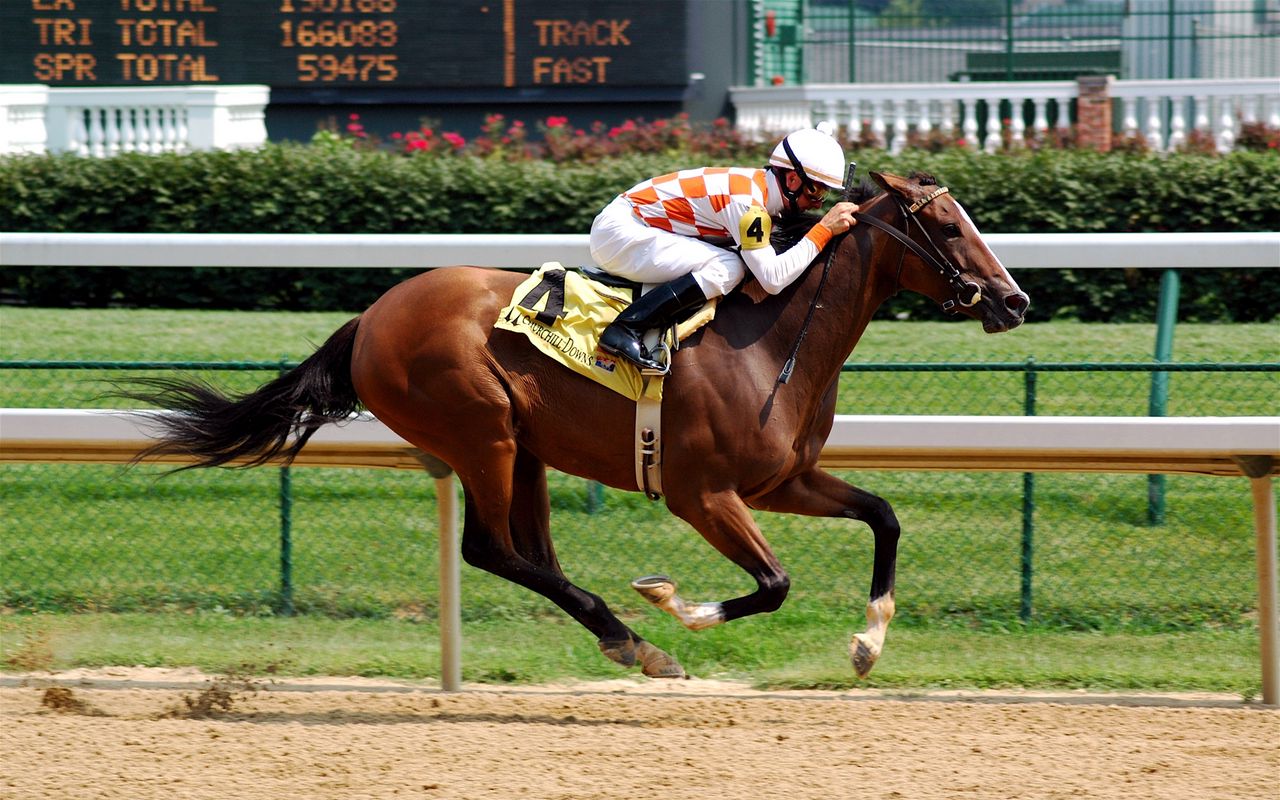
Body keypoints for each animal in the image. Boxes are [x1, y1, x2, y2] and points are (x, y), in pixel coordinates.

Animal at [129, 171, 1029, 675]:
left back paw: (624, 640)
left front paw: (868, 643)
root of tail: (372, 316)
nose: (1015, 299)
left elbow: (884, 517)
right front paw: (676, 604)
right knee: (492, 550)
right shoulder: (704, 494)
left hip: (524, 448)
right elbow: (773, 584)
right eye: (947, 225)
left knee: (531, 555)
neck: (773, 336)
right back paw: (638, 640)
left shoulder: (782, 480)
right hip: (480, 431)